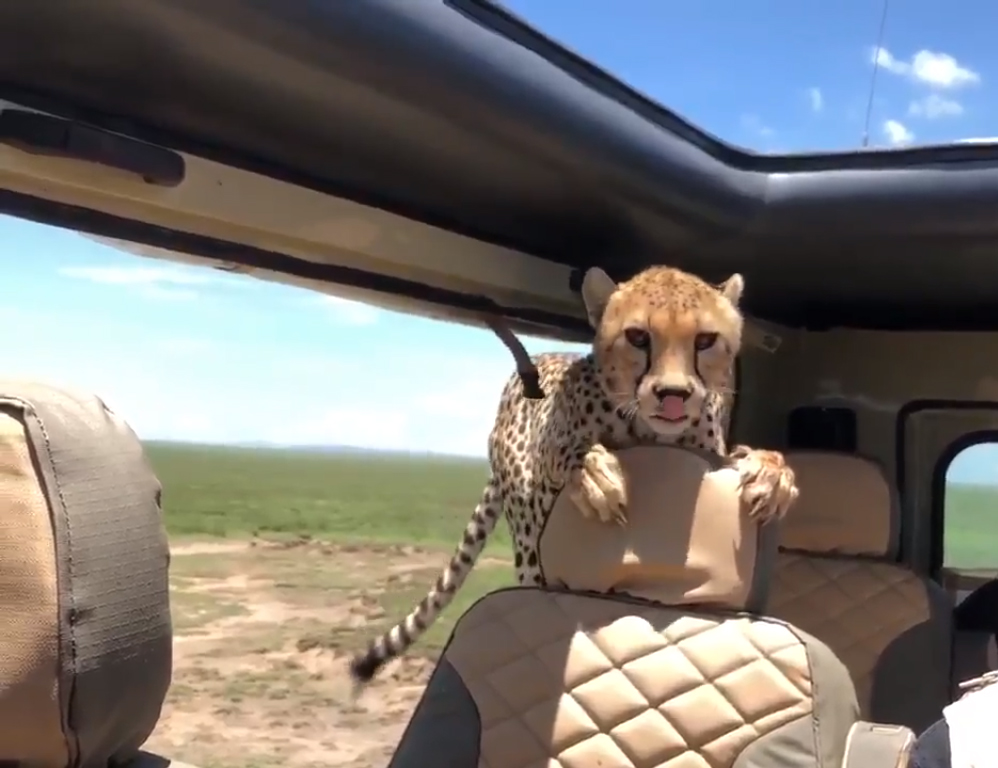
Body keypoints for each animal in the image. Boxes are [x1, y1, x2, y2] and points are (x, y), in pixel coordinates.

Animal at [349, 264, 799, 689]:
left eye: (705, 341)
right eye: (638, 337)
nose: (673, 395)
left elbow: (751, 457)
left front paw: (772, 475)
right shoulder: (549, 454)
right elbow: (568, 449)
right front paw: (595, 475)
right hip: (527, 541)